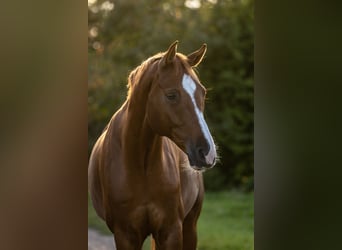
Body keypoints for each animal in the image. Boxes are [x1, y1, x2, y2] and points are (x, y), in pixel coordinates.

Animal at [88, 41, 216, 250]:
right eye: (171, 95)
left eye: (202, 92)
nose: (207, 152)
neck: (140, 165)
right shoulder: (125, 235)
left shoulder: (171, 231)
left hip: (190, 227)